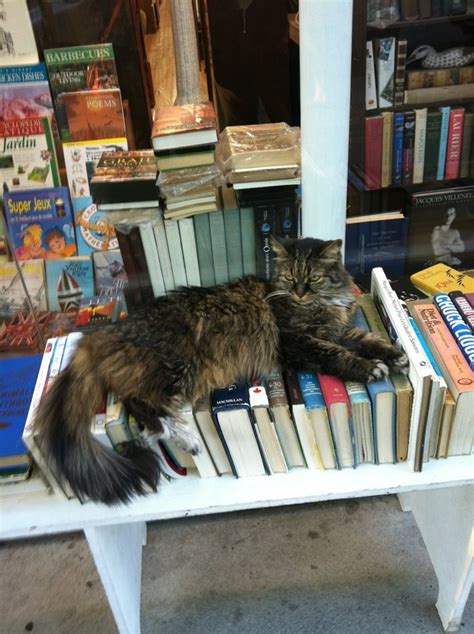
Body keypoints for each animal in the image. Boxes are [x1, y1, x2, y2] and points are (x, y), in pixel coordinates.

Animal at [36, 237, 408, 504]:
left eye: (314, 278)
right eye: (290, 277)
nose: (300, 293)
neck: (321, 306)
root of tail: (106, 332)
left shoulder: (339, 331)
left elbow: (366, 339)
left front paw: (395, 355)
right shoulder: (297, 342)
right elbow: (339, 355)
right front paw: (370, 368)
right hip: (176, 368)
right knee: (139, 405)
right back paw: (183, 437)